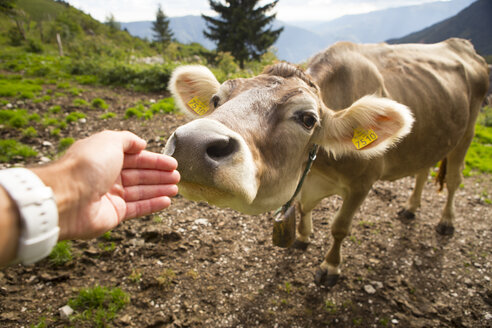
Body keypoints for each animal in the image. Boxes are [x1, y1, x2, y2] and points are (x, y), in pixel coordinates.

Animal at [164, 38, 488, 286]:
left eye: (308, 119)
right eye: (216, 101)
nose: (193, 144)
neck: (321, 167)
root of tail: (462, 45)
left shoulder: (363, 183)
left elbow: (339, 227)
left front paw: (330, 267)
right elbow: (304, 207)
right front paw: (302, 237)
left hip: (468, 132)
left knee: (455, 178)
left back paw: (447, 221)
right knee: (423, 168)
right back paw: (410, 207)